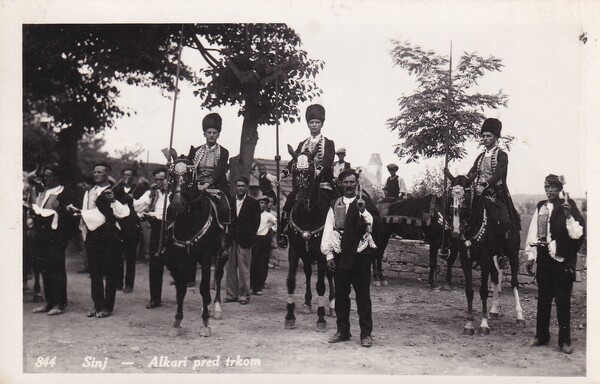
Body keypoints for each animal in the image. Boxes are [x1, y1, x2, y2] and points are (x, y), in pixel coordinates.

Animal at [162, 153, 230, 336]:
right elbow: (181, 289)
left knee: (218, 276)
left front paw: (205, 324)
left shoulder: (205, 255)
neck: (190, 219)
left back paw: (217, 308)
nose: (177, 204)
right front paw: (176, 323)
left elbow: (204, 287)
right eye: (172, 175)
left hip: (221, 253)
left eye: (189, 176)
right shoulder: (180, 257)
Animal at [282, 146, 336, 332]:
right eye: (294, 170)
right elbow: (291, 281)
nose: (300, 201)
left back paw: (332, 306)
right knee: (307, 272)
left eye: (311, 171)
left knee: (330, 275)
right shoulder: (294, 250)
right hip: (306, 254)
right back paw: (307, 303)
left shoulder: (321, 253)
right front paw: (290, 317)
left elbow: (321, 285)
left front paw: (321, 319)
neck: (307, 215)